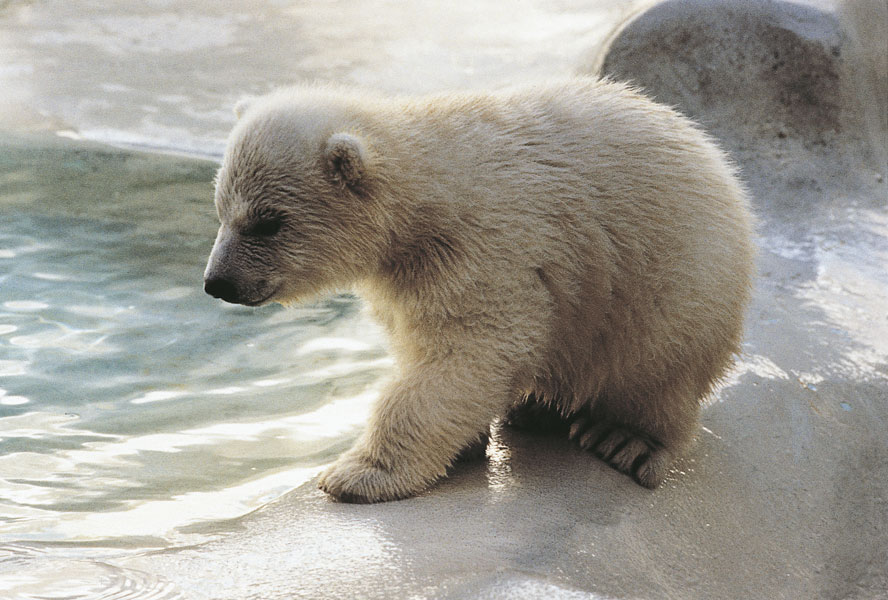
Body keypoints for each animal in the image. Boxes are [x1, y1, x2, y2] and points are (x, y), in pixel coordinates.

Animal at [203, 77, 755, 503]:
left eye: (268, 223)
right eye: (222, 211)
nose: (217, 283)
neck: (427, 191)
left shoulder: (487, 250)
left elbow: (467, 354)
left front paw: (356, 474)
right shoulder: (409, 273)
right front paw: (465, 443)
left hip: (675, 283)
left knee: (657, 363)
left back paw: (625, 437)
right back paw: (534, 408)